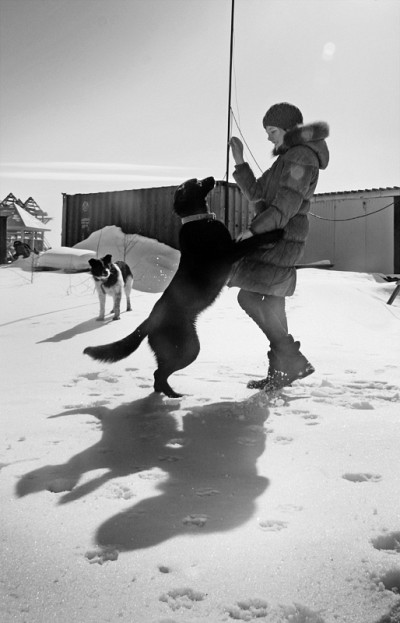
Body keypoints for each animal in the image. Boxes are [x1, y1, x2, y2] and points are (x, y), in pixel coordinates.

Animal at [84, 177, 283, 397]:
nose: (212, 178)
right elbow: (253, 240)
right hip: (188, 348)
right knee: (159, 373)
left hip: (172, 349)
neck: (198, 219)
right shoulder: (229, 252)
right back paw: (174, 397)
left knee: (158, 375)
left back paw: (166, 395)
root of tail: (149, 321)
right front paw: (275, 234)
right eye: (196, 182)